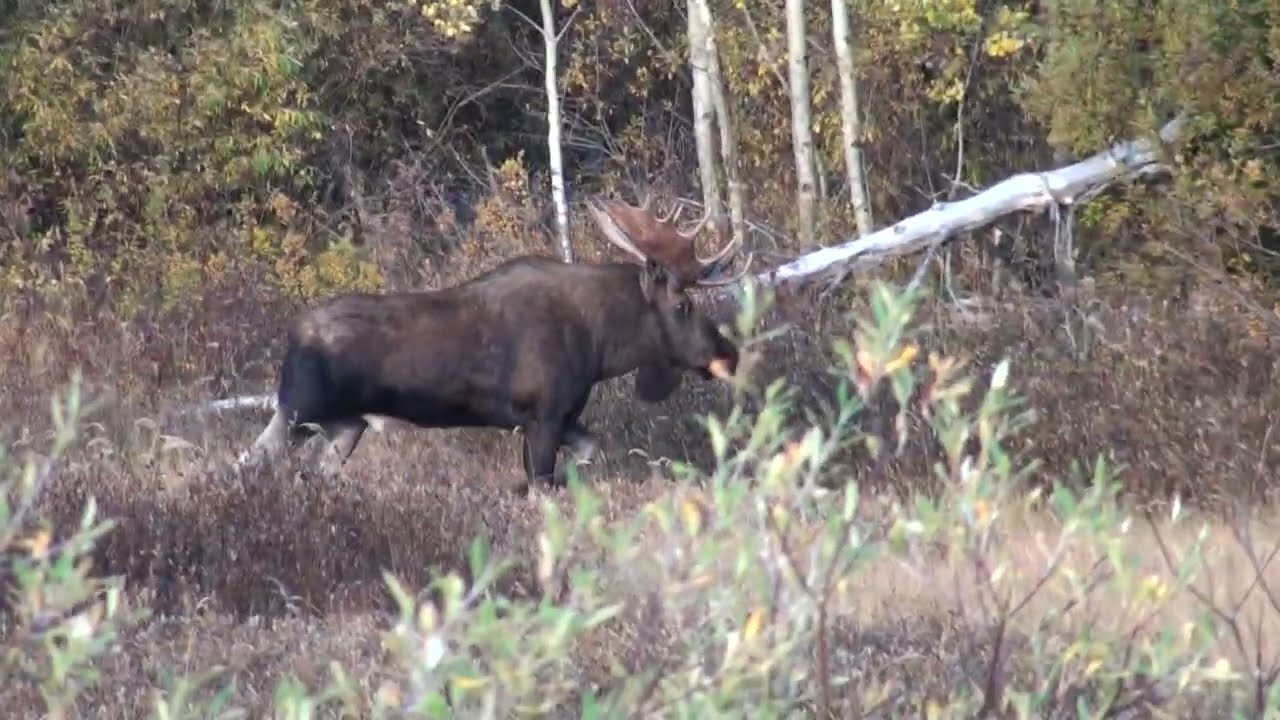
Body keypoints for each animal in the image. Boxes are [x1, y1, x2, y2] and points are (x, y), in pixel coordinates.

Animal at [236, 195, 753, 491]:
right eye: (683, 306)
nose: (729, 354)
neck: (601, 344)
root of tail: (292, 334)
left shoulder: (558, 418)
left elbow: (586, 455)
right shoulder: (542, 415)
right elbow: (543, 482)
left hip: (346, 424)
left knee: (312, 474)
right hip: (297, 409)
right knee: (247, 462)